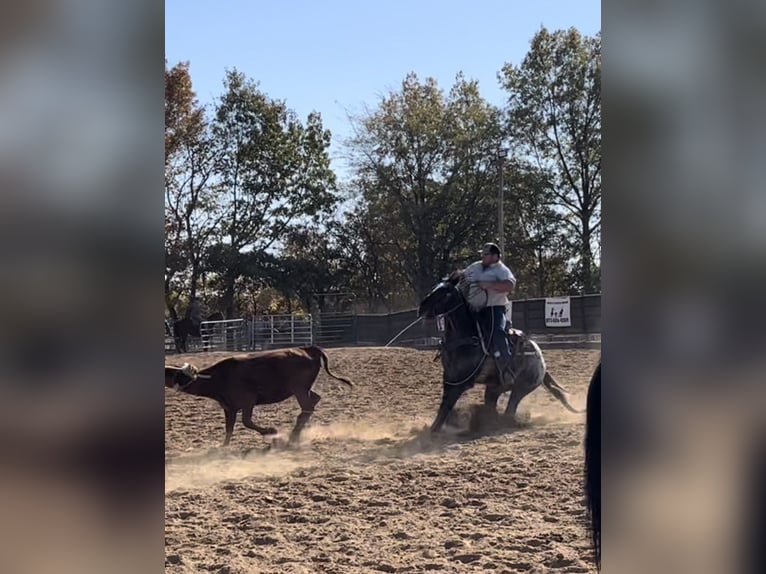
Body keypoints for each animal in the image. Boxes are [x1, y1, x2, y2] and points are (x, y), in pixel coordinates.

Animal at [165, 346, 354, 446]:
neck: (218, 377)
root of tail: (308, 349)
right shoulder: (229, 408)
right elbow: (229, 428)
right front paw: (222, 447)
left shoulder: (248, 402)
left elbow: (246, 422)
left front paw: (271, 431)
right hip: (303, 389)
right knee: (314, 401)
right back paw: (297, 434)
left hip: (299, 389)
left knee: (307, 408)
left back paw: (293, 436)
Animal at [420, 272, 584, 434]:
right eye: (434, 287)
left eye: (445, 293)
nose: (421, 307)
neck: (466, 336)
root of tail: (541, 359)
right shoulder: (449, 378)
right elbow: (445, 405)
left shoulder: (461, 382)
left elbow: (446, 405)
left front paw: (432, 432)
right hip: (495, 388)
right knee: (493, 406)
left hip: (522, 387)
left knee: (509, 410)